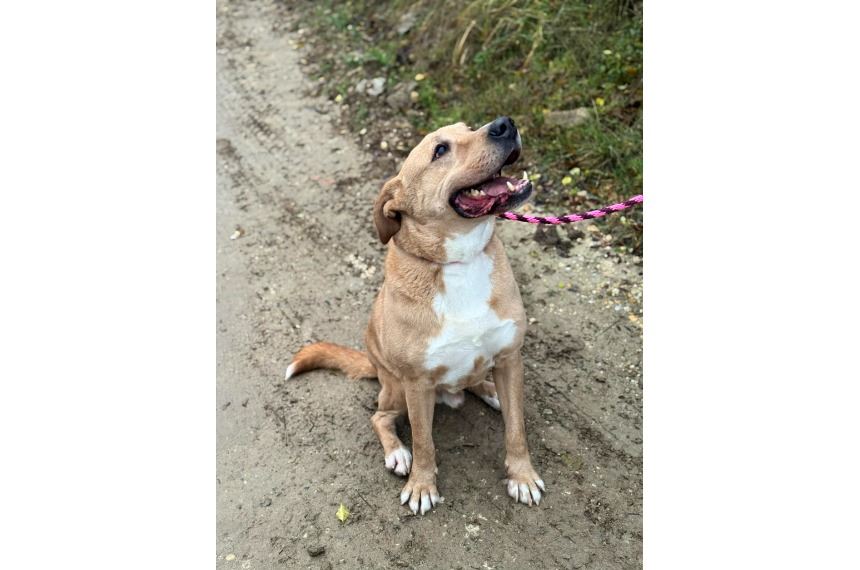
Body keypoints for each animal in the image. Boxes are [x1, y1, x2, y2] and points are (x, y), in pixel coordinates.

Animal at [286, 117, 544, 515]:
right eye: (440, 150)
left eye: (469, 127)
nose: (505, 124)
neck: (459, 262)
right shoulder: (418, 384)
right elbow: (424, 443)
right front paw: (422, 485)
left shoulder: (509, 358)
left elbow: (516, 430)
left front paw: (522, 476)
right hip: (395, 388)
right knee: (380, 417)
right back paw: (397, 454)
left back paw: (489, 390)